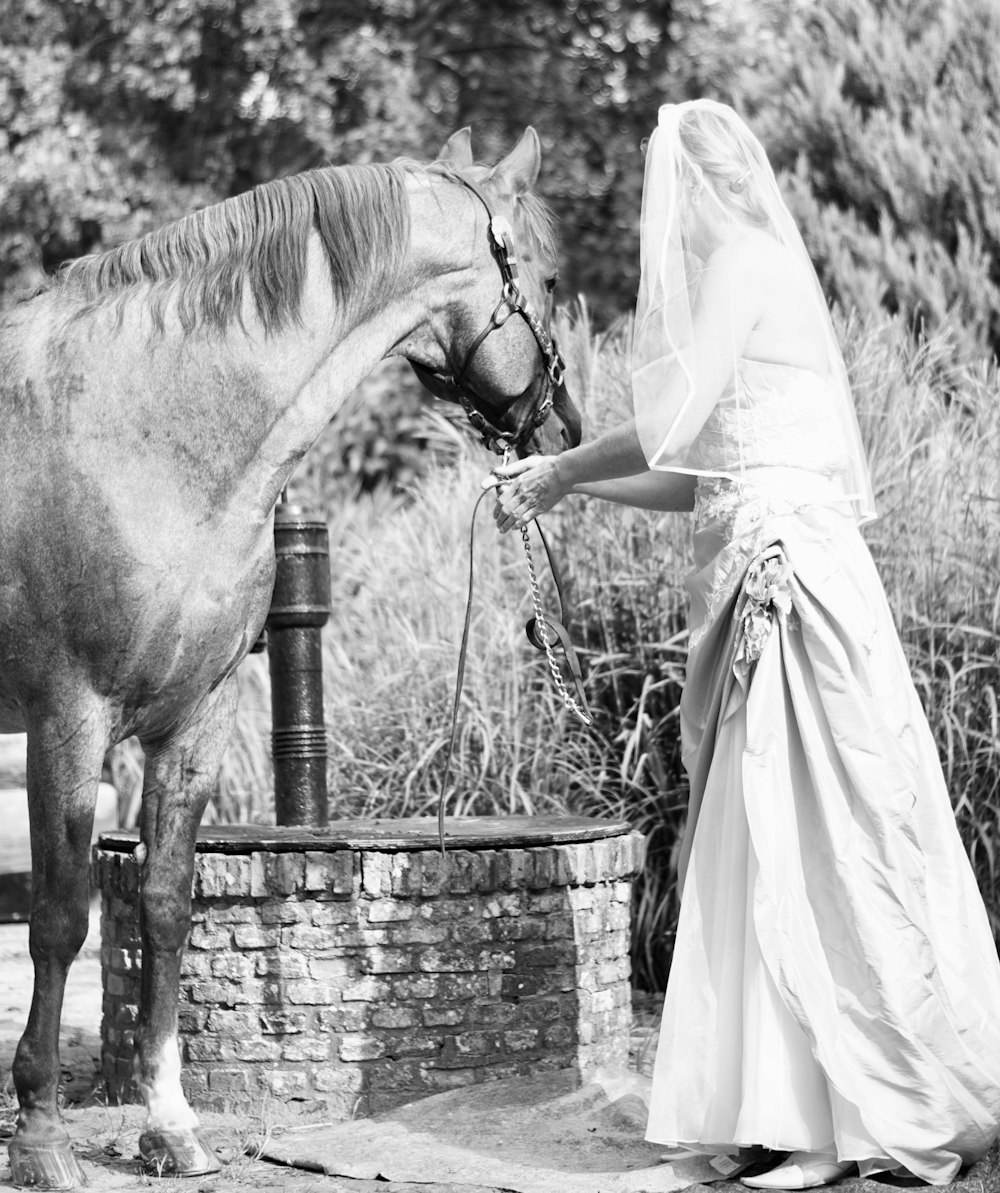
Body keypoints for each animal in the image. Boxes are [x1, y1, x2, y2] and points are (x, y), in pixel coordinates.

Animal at [0, 125, 582, 1188]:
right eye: (551, 276)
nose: (561, 430)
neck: (142, 431)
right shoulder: (68, 717)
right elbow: (60, 920)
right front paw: (43, 1138)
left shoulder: (193, 720)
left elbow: (166, 904)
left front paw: (171, 1127)